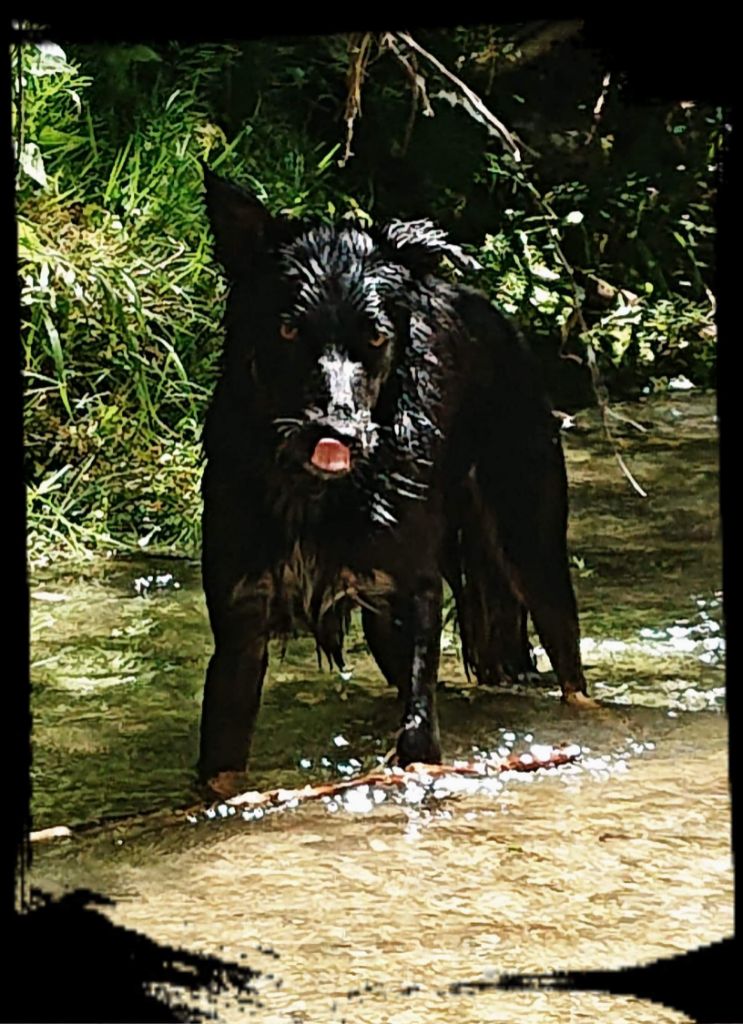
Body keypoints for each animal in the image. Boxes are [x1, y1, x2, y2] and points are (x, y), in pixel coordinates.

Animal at [197, 172, 593, 786]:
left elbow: (418, 727)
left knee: (570, 669)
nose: (337, 431)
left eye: (377, 338)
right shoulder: (240, 617)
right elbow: (221, 758)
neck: (318, 496)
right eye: (287, 329)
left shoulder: (413, 591)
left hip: (529, 542)